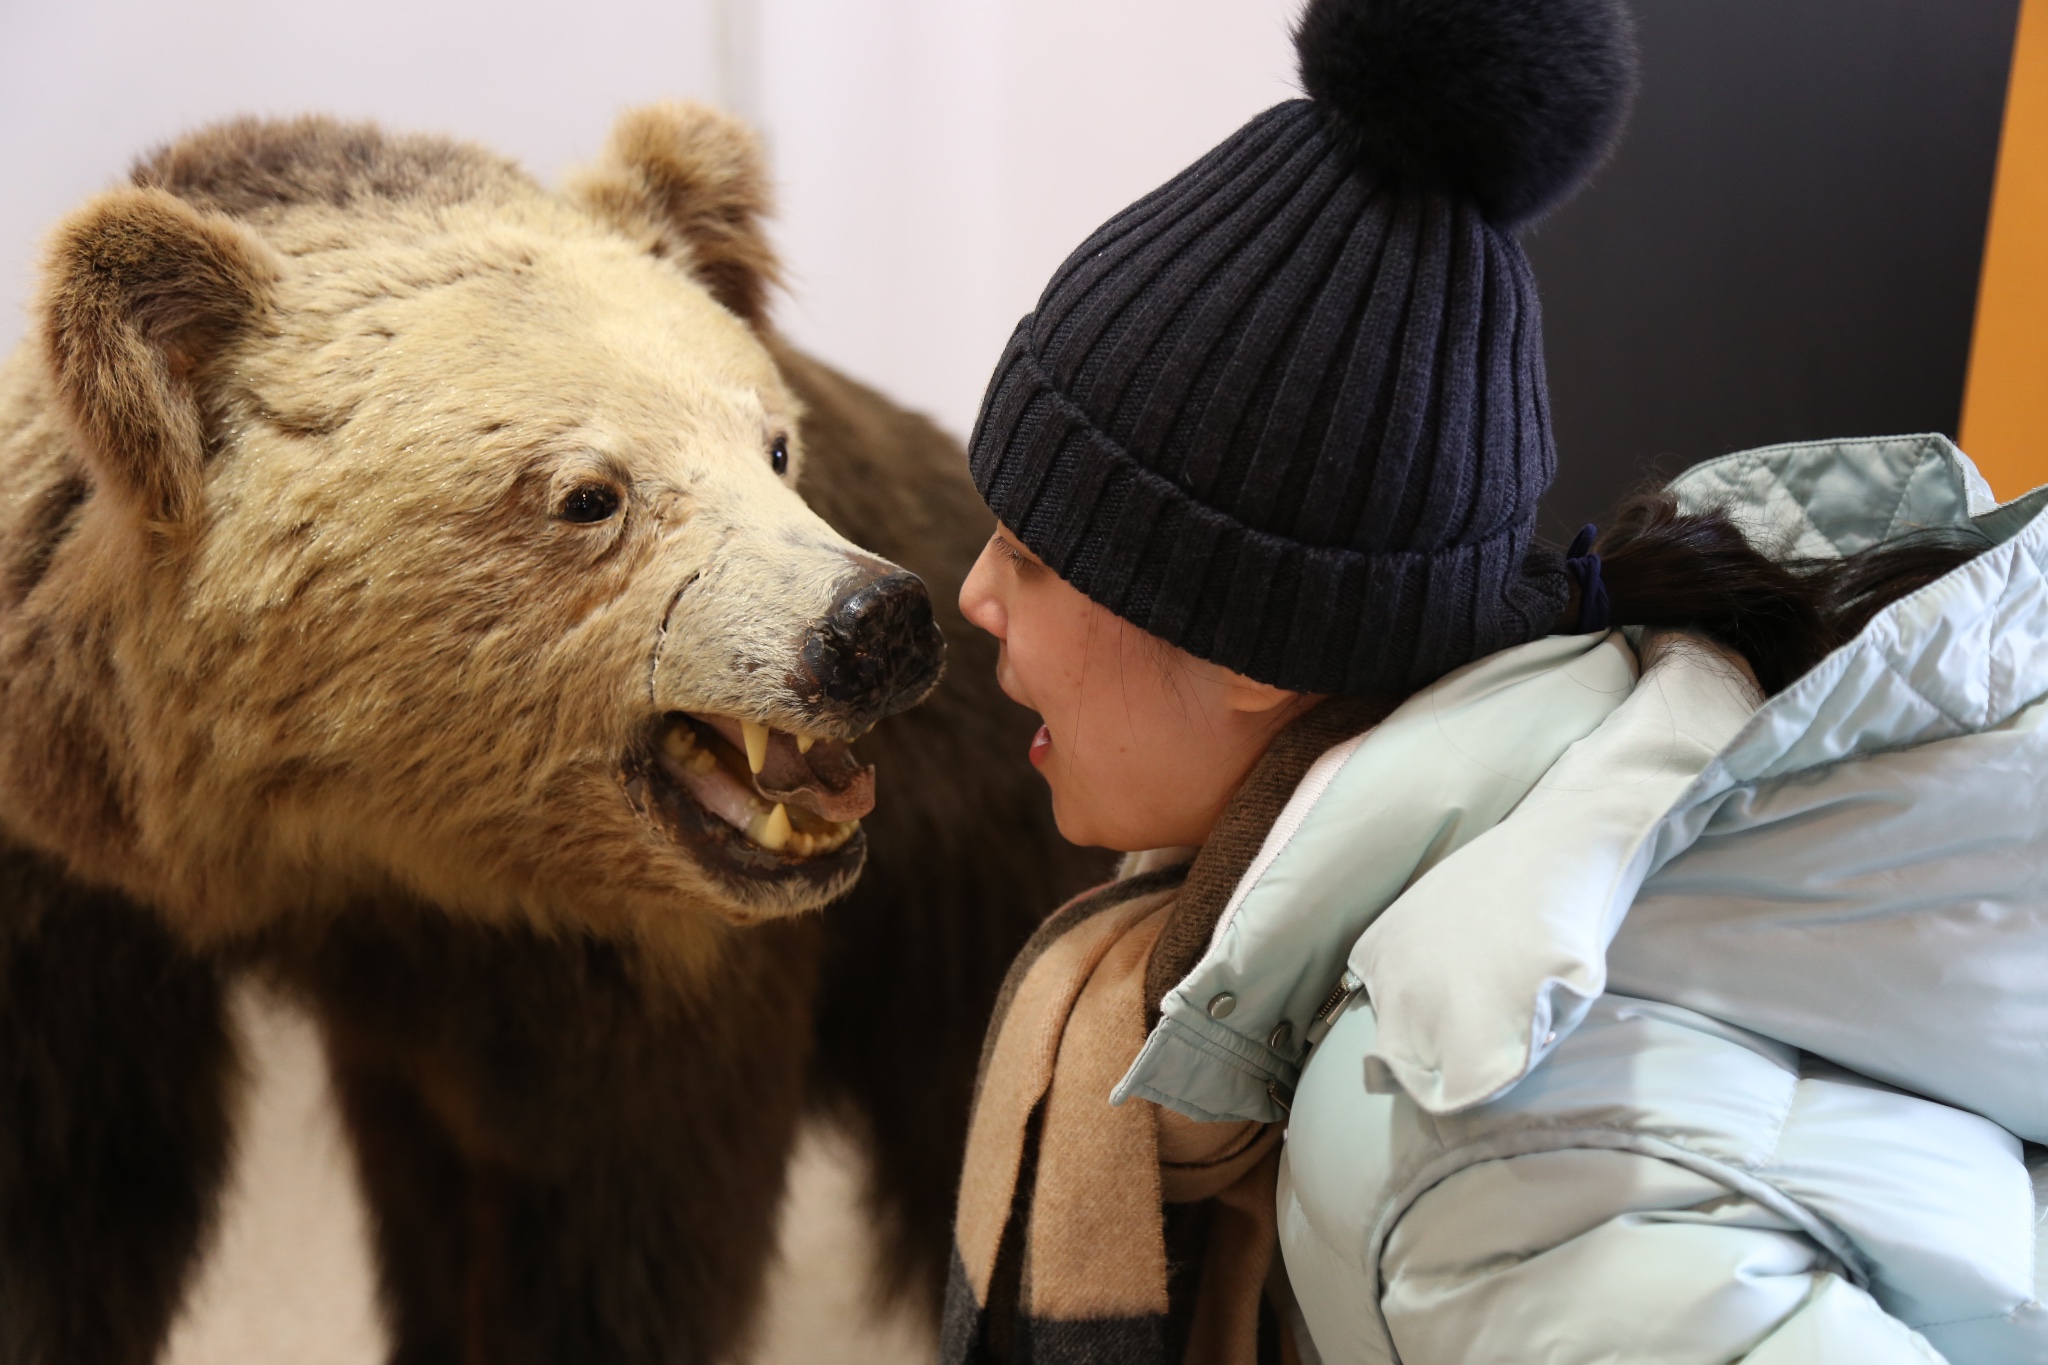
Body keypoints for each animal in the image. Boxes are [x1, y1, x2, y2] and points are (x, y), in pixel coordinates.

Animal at [0, 101, 1105, 1358]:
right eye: (588, 494)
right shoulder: (63, 888)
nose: (873, 624)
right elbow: (73, 1190)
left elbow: (611, 1235)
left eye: (773, 442)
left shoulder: (622, 977)